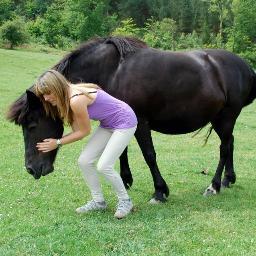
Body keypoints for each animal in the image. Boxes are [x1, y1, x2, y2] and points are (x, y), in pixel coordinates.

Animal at [7, 36, 256, 200]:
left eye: (32, 124)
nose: (31, 169)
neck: (112, 71)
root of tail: (245, 67)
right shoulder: (120, 119)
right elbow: (121, 152)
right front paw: (126, 180)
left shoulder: (141, 123)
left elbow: (149, 155)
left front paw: (160, 191)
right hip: (220, 119)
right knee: (230, 144)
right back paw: (228, 179)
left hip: (226, 117)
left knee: (224, 148)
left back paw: (214, 185)